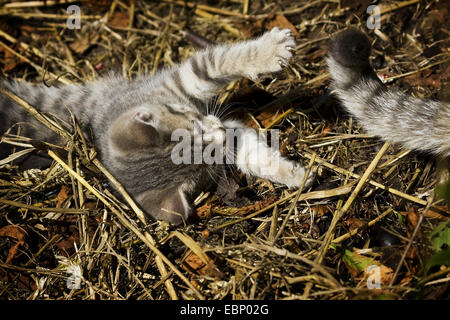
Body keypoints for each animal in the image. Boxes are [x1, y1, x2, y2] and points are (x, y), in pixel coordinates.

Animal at [0, 28, 310, 226]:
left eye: (195, 125)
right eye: (207, 161)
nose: (220, 131)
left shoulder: (180, 80)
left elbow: (218, 61)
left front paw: (271, 50)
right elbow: (250, 154)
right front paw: (294, 174)